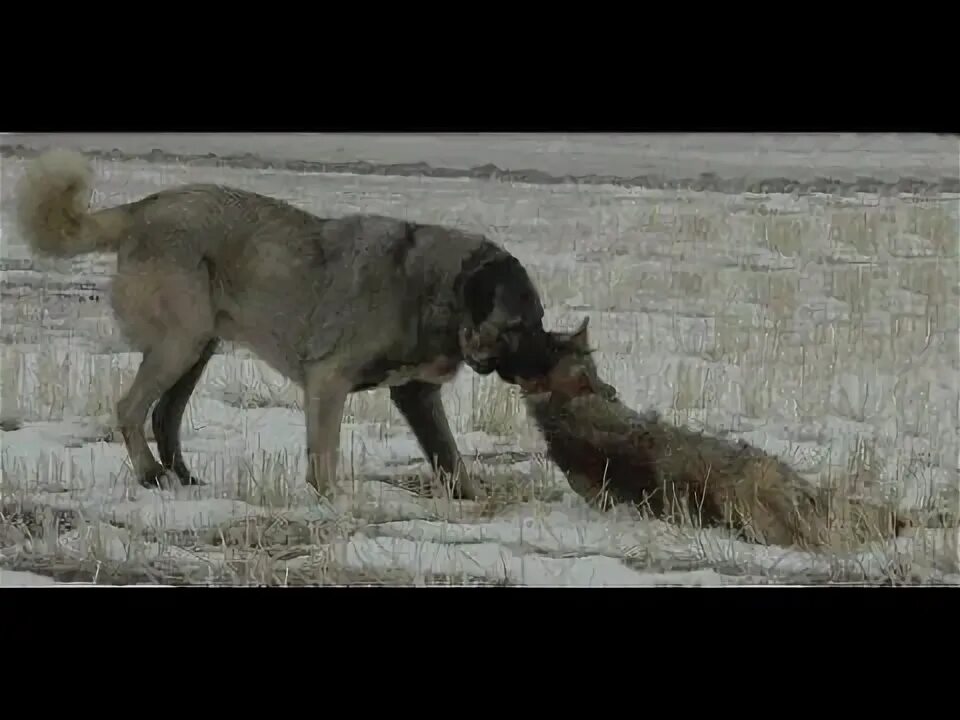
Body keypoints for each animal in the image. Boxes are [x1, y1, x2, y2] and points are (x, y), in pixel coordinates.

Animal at [16, 149, 568, 500]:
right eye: (521, 325)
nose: (554, 359)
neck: (431, 288)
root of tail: (140, 210)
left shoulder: (415, 396)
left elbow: (448, 456)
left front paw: (470, 500)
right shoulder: (329, 380)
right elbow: (325, 450)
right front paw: (332, 500)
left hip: (198, 346)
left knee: (164, 416)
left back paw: (183, 479)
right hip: (180, 342)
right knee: (130, 409)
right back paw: (151, 474)